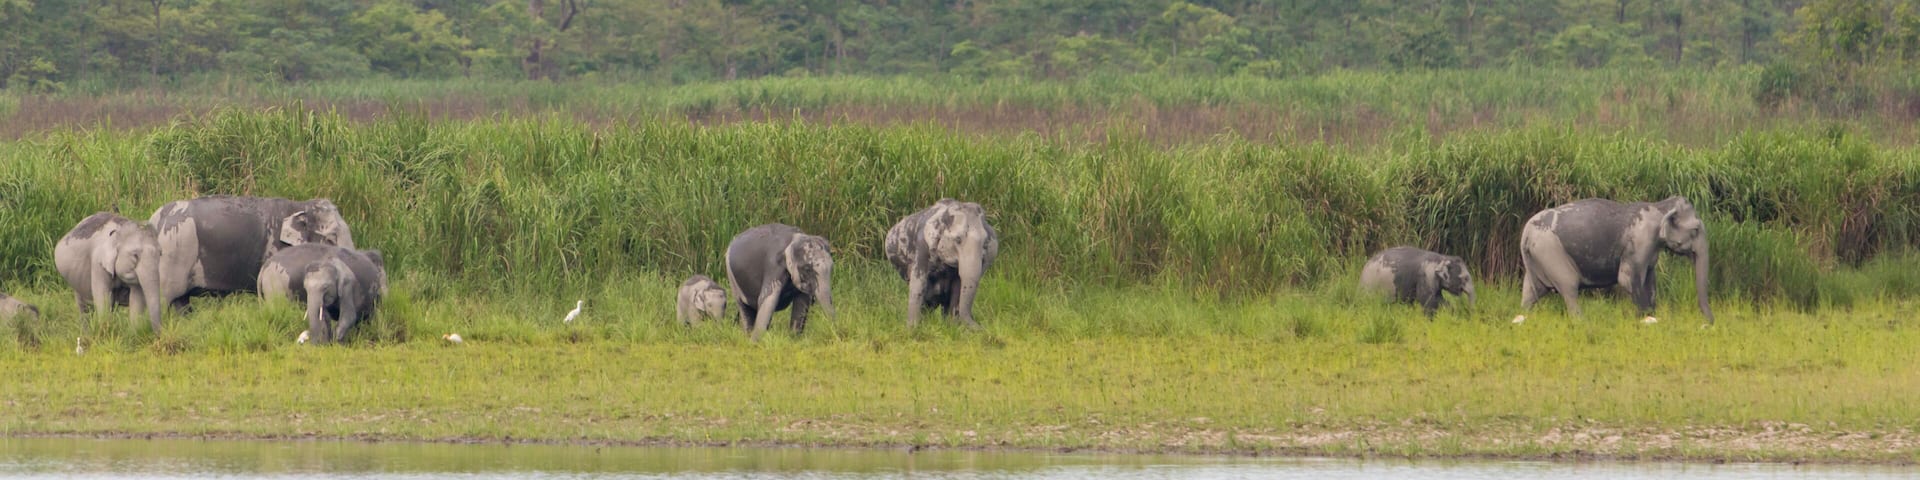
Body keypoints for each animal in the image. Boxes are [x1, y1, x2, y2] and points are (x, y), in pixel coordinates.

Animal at [149, 195, 355, 311]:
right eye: (331, 239)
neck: (299, 206)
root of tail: (157, 219)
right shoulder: (275, 247)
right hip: (174, 255)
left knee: (180, 302)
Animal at [884, 199, 999, 328]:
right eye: (958, 240)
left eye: (985, 243)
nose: (983, 327)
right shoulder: (922, 246)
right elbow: (918, 283)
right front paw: (912, 328)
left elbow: (958, 286)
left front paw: (953, 327)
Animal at [1519, 196, 1713, 323]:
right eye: (1695, 229)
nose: (1708, 324)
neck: (1661, 206)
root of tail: (1525, 234)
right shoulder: (1641, 240)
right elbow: (1626, 279)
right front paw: (1646, 320)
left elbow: (1650, 282)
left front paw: (1650, 316)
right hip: (1551, 252)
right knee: (1569, 288)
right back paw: (1582, 323)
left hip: (1538, 257)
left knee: (1531, 293)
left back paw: (1523, 319)